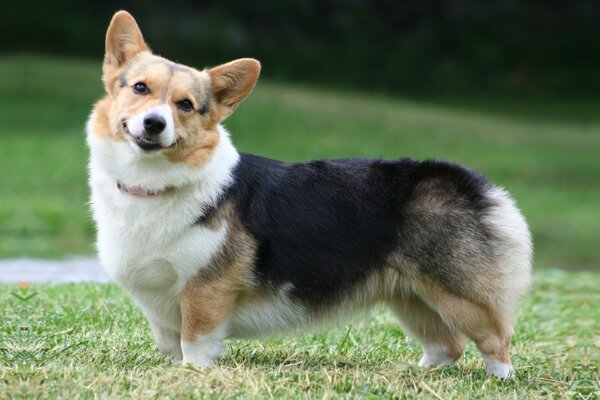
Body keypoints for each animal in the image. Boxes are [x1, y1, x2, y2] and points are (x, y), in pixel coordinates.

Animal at [86, 10, 532, 378]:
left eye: (185, 105)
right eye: (140, 88)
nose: (155, 123)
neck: (152, 184)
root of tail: (477, 185)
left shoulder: (206, 291)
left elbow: (195, 341)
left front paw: (193, 375)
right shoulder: (160, 304)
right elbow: (170, 343)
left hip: (458, 297)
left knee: (496, 341)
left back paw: (499, 378)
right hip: (411, 296)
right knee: (446, 346)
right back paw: (417, 374)